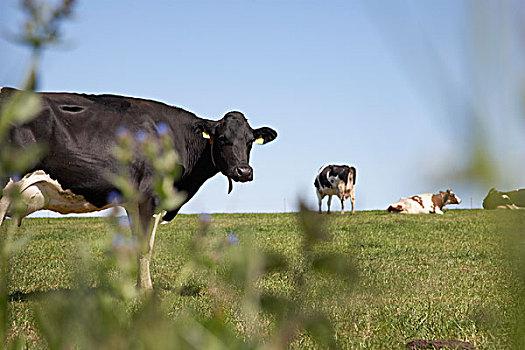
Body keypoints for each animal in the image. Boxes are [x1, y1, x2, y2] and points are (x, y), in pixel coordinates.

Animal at [0, 87, 278, 290]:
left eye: (250, 141)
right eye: (222, 139)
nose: (244, 172)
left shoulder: (133, 202)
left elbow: (137, 245)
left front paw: (135, 288)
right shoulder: (149, 198)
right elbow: (146, 246)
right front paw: (147, 291)